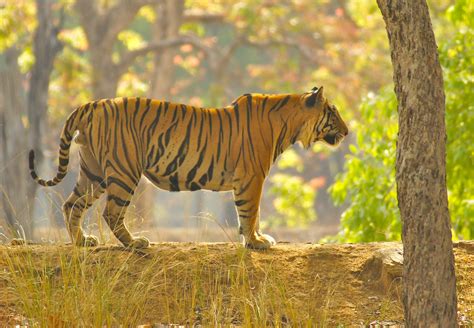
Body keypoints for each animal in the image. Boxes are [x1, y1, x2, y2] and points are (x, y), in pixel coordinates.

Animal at [30, 86, 348, 250]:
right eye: (333, 113)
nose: (347, 132)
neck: (290, 124)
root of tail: (93, 104)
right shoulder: (252, 177)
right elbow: (250, 212)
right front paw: (256, 241)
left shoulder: (248, 179)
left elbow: (248, 213)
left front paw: (253, 239)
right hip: (124, 170)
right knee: (111, 212)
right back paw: (135, 243)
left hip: (93, 172)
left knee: (71, 205)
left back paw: (82, 241)